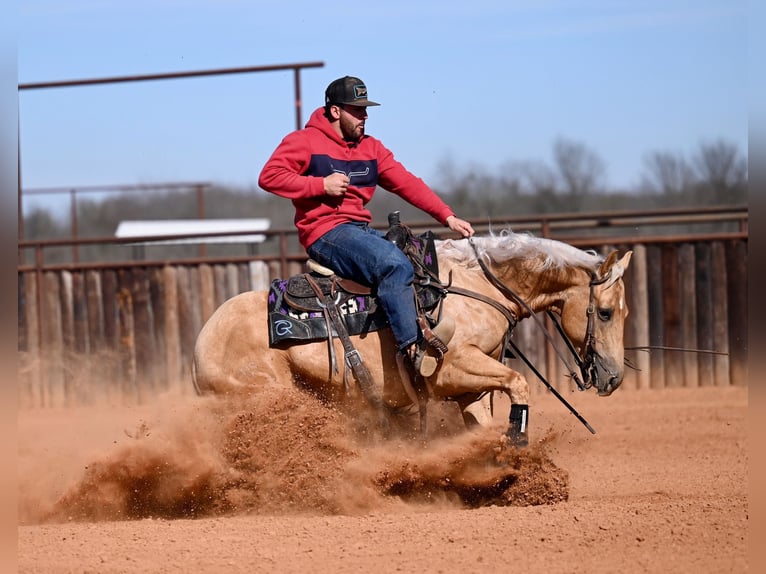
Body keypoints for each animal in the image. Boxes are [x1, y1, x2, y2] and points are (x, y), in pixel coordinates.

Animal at [192, 231, 632, 444]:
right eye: (605, 312)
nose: (614, 378)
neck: (474, 286)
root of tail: (200, 346)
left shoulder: (471, 389)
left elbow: (486, 422)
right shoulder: (451, 371)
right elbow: (519, 383)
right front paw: (518, 441)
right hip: (266, 397)